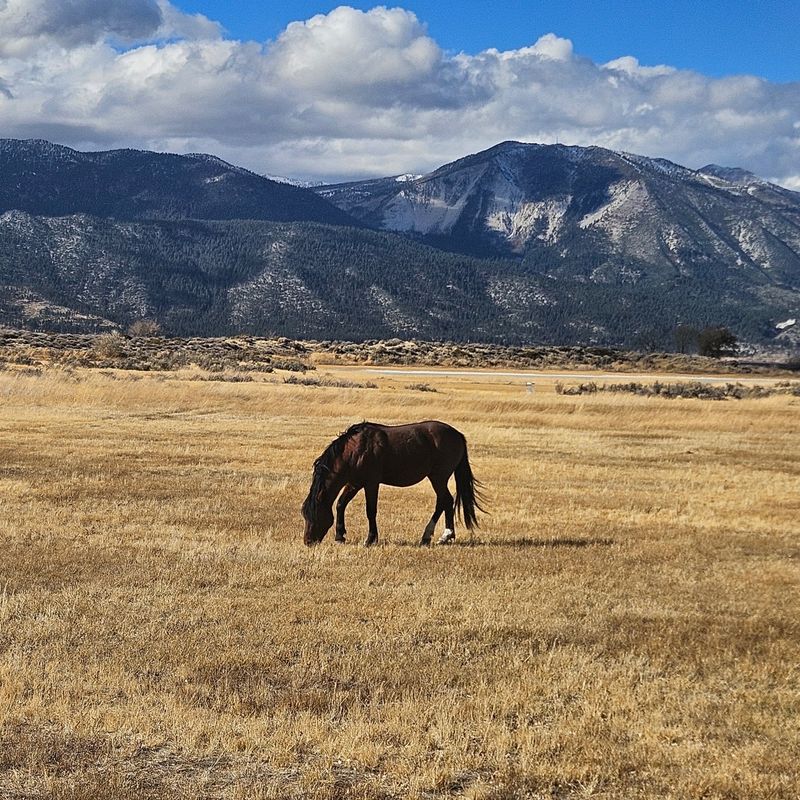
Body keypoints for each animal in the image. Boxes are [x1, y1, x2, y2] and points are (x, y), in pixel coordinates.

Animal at [302, 422, 484, 548]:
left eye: (314, 514)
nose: (308, 541)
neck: (355, 450)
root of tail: (458, 434)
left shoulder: (371, 483)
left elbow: (370, 510)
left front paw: (371, 539)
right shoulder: (355, 483)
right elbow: (341, 504)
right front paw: (340, 536)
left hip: (438, 477)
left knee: (445, 500)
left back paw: (444, 535)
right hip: (437, 478)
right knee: (443, 502)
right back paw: (431, 536)